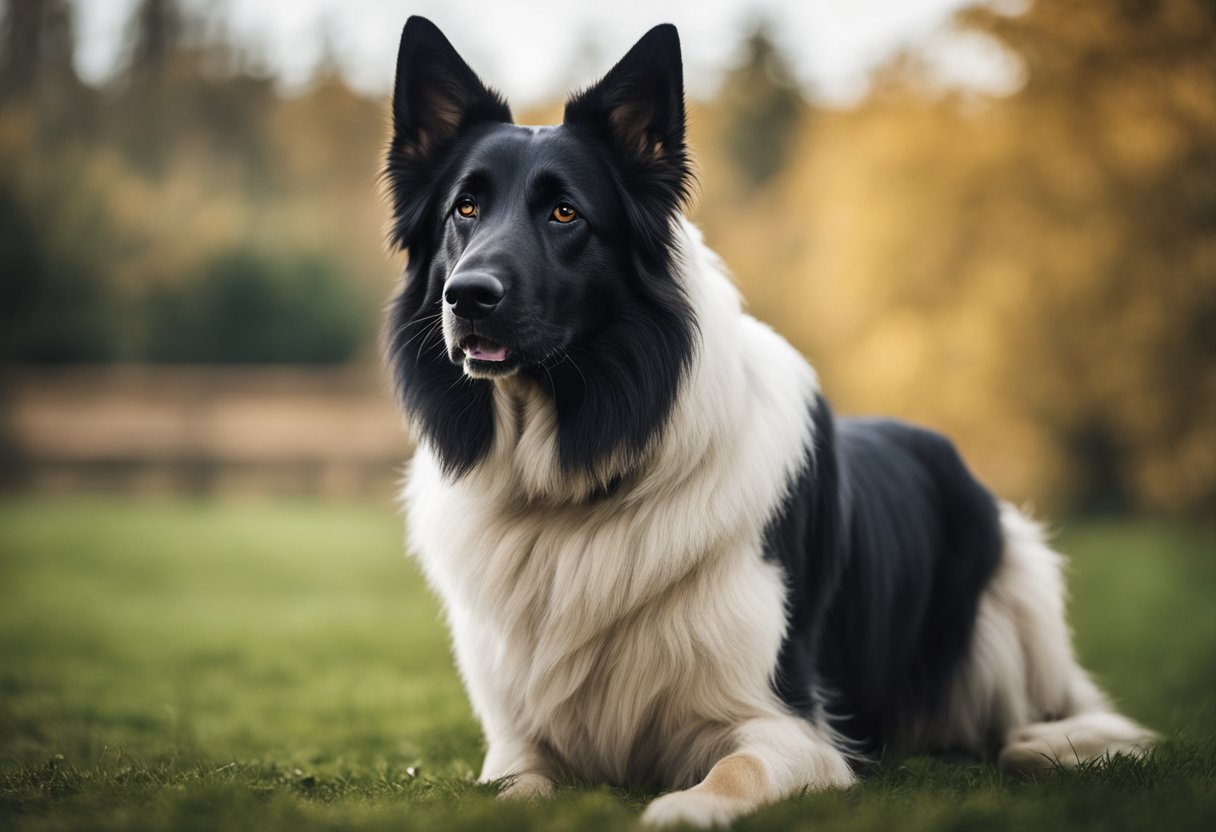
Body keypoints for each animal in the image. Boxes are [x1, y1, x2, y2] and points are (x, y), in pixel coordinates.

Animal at [381, 14, 1157, 827]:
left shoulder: (790, 726)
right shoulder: (518, 743)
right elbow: (513, 787)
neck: (573, 484)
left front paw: (679, 808)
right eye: (464, 210)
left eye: (566, 213)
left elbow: (731, 773)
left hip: (1011, 619)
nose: (468, 298)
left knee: (1061, 726)